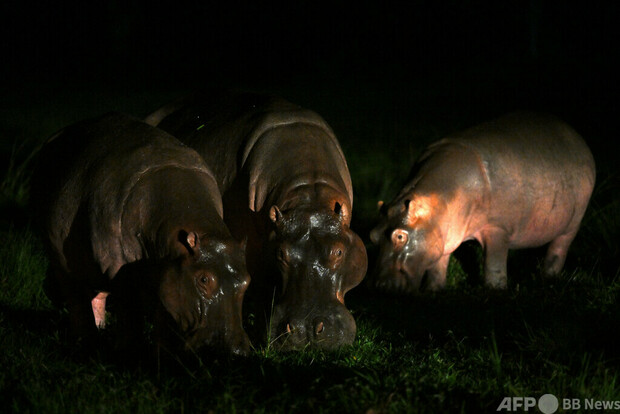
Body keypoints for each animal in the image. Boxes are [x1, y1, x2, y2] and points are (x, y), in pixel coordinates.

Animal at [29, 113, 252, 356]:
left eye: (247, 280)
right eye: (203, 279)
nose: (234, 351)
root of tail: (56, 136)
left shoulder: (166, 270)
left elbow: (163, 312)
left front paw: (161, 353)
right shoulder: (118, 270)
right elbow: (130, 311)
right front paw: (129, 351)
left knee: (96, 296)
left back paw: (100, 329)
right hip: (60, 258)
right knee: (76, 298)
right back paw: (86, 342)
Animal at [368, 110, 596, 292]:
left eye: (400, 236)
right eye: (372, 235)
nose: (380, 286)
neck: (442, 197)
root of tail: (578, 139)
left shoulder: (497, 229)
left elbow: (493, 264)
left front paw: (495, 290)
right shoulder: (445, 234)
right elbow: (438, 266)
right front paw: (434, 290)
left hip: (572, 223)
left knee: (558, 249)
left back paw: (548, 278)